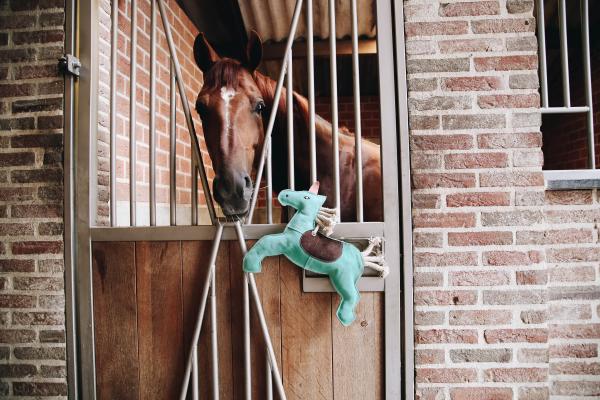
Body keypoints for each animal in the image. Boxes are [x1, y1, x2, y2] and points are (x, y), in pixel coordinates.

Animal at [244, 181, 390, 324]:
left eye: (306, 197)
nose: (284, 194)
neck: (300, 229)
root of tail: (361, 257)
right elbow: (265, 241)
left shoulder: (285, 243)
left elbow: (265, 241)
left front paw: (251, 264)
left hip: (343, 278)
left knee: (352, 295)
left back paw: (346, 317)